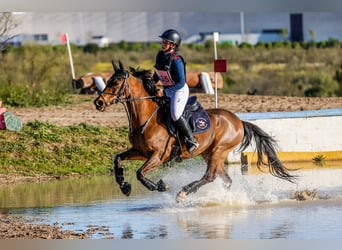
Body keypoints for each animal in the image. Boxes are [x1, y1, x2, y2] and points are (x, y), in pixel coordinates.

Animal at [93, 60, 296, 201]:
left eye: (116, 82)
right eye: (108, 80)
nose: (98, 103)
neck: (145, 118)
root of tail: (238, 120)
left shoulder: (158, 156)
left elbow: (140, 173)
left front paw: (160, 186)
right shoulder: (140, 152)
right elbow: (117, 159)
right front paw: (124, 186)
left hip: (218, 150)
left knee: (210, 176)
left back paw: (184, 192)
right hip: (209, 153)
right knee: (224, 179)